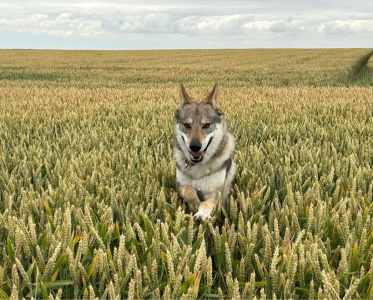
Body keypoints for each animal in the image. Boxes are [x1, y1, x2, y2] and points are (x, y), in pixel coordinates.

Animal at [174, 84, 235, 220]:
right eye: (187, 125)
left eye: (206, 125)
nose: (195, 146)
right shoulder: (179, 185)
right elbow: (188, 189)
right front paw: (196, 204)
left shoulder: (216, 196)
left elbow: (207, 202)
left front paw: (202, 213)